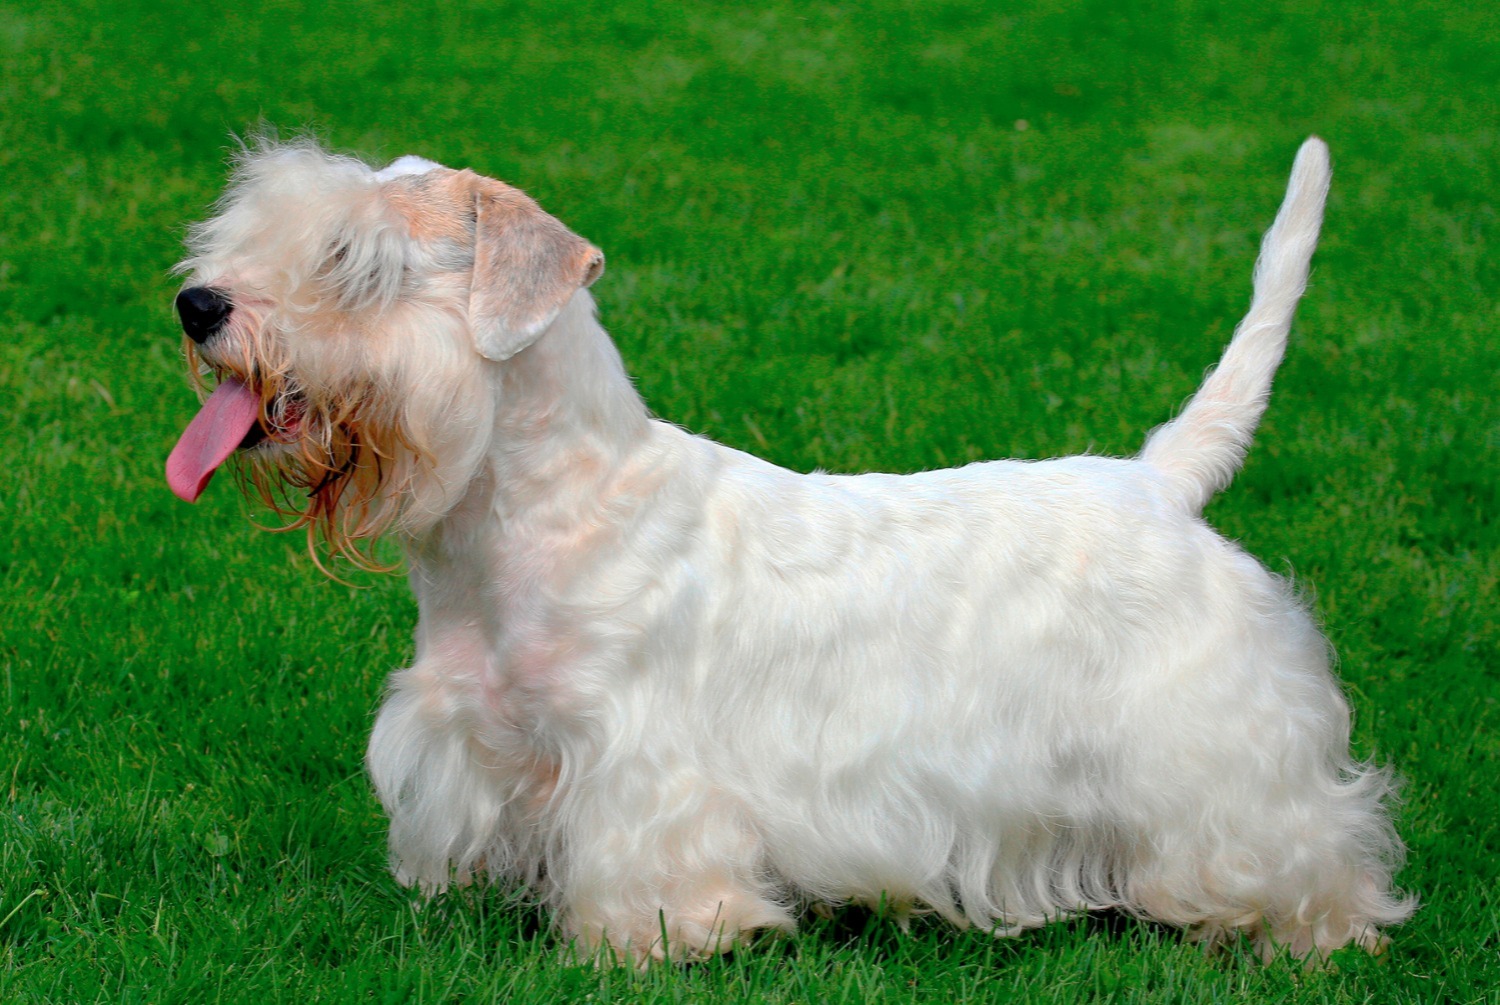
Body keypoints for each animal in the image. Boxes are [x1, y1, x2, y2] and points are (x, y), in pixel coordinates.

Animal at [170, 138, 1410, 966]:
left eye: (356, 262)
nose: (198, 304)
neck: (523, 522)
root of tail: (1161, 478)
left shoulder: (639, 768)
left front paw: (645, 943)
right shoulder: (479, 739)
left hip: (1221, 758)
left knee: (1303, 841)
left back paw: (1313, 930)